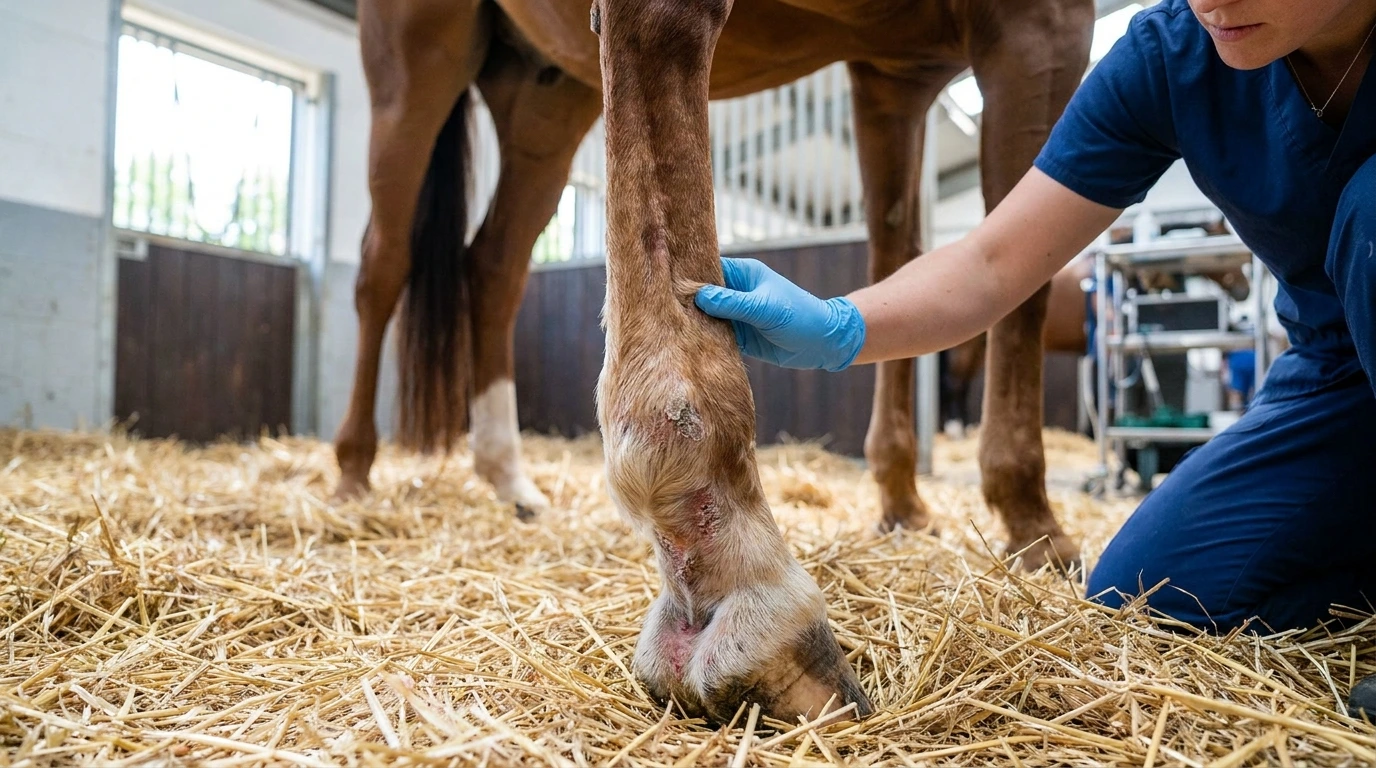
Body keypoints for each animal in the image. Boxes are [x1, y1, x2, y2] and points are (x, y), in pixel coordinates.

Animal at [333, 0, 1095, 720]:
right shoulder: (1038, 25)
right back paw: (352, 472)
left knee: (493, 267)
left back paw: (509, 478)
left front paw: (904, 501)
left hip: (543, 90)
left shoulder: (895, 72)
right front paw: (1035, 523)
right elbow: (1020, 268)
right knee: (382, 264)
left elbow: (906, 253)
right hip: (415, 64)